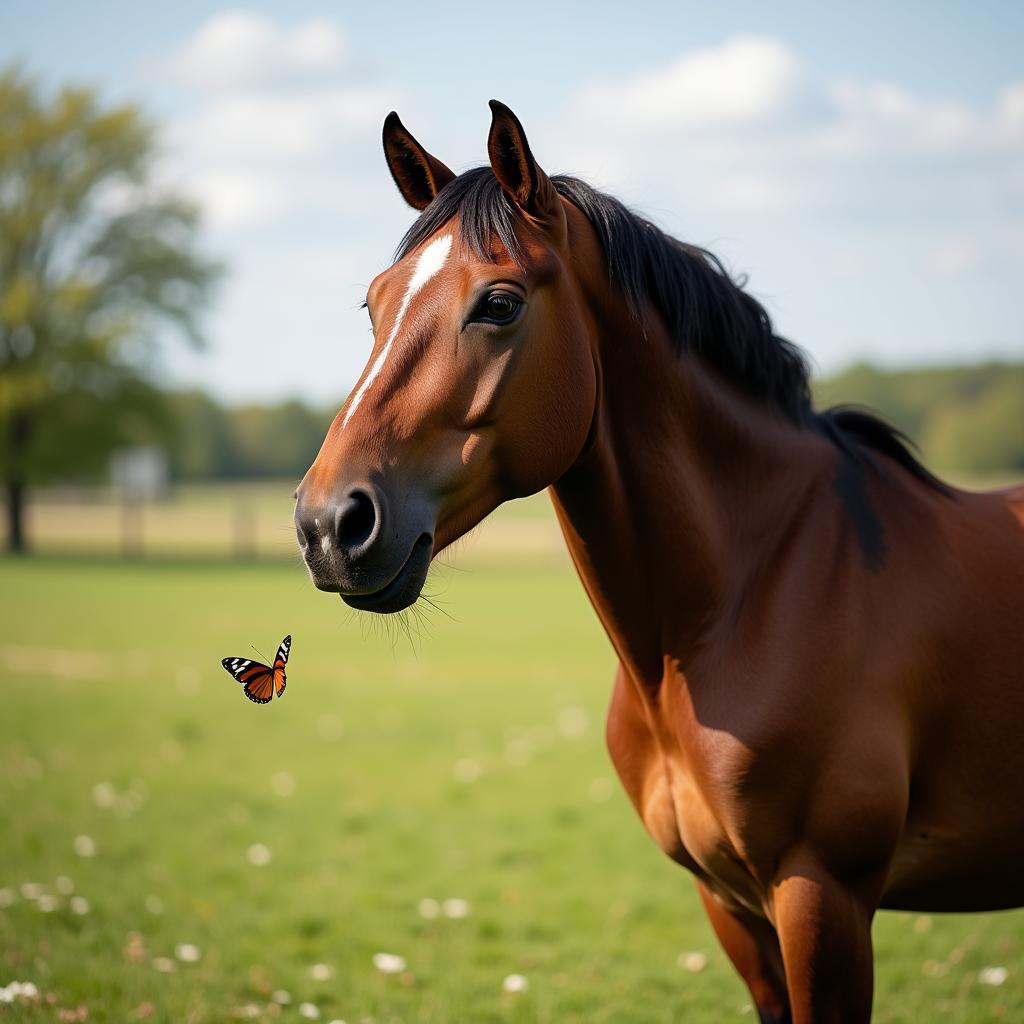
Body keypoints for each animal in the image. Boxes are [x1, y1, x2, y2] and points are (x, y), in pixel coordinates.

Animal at [294, 97, 1024, 1024]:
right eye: (375, 304)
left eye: (499, 302)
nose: (329, 524)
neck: (754, 596)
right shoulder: (731, 903)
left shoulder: (824, 895)